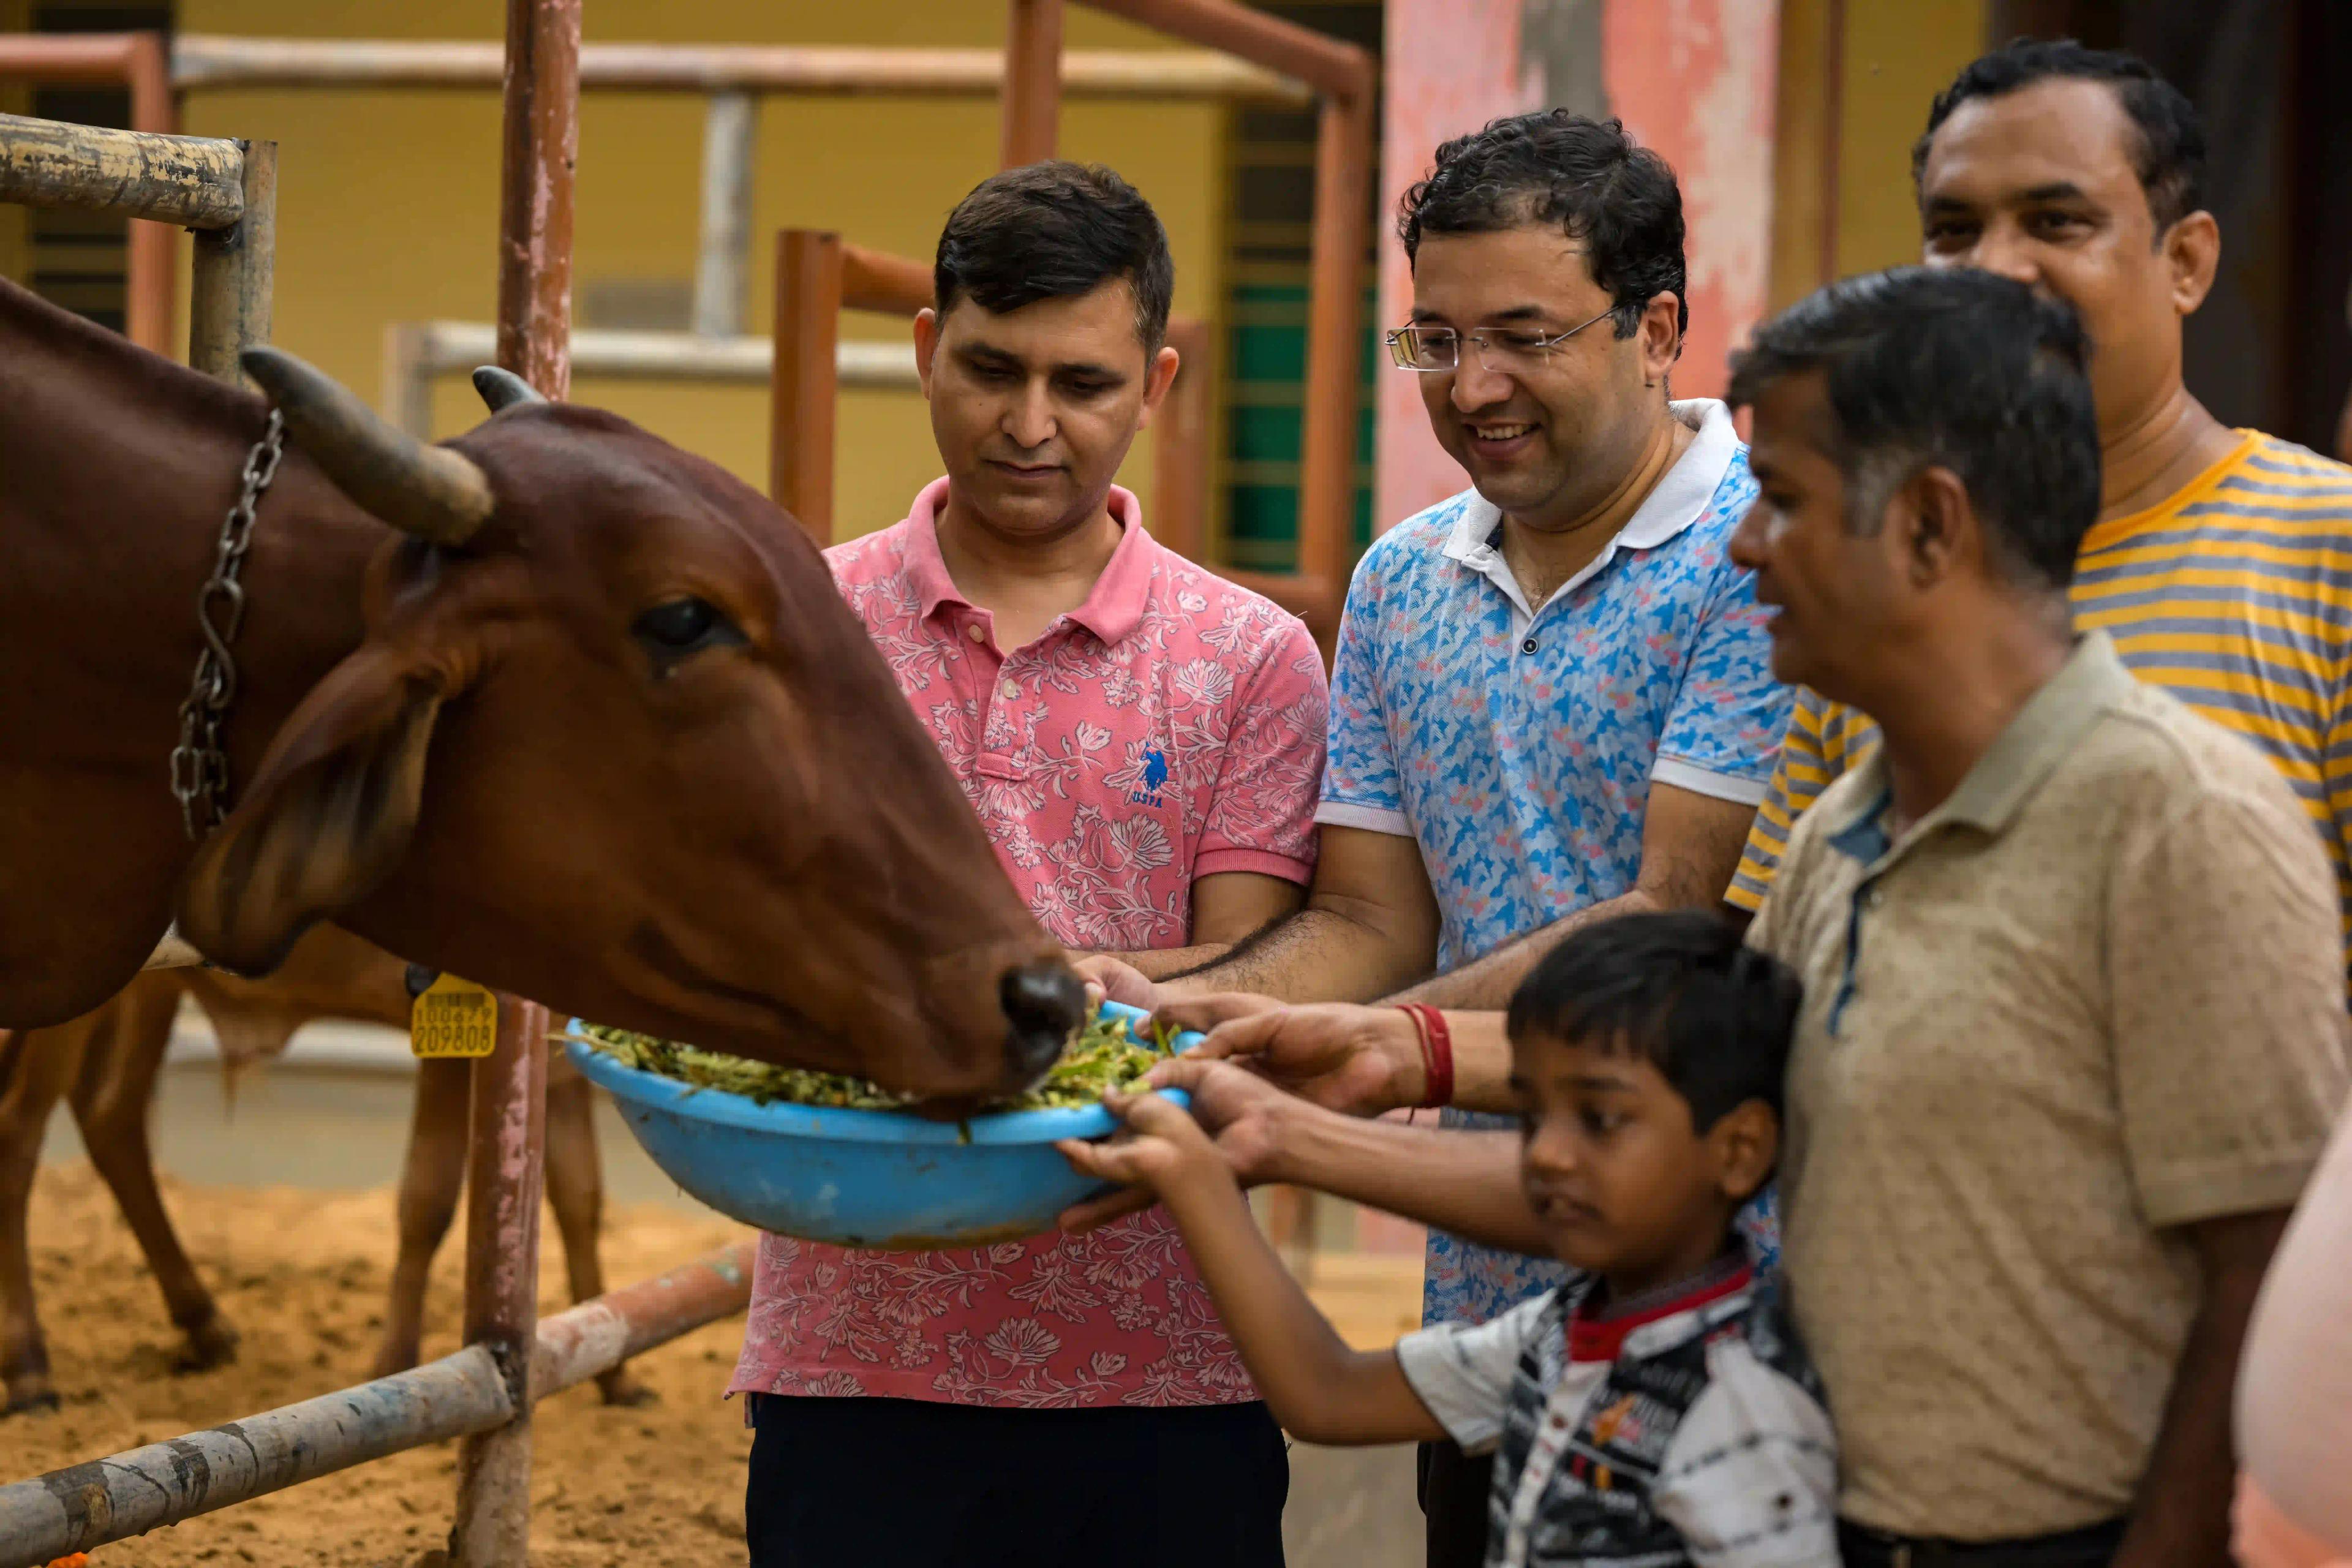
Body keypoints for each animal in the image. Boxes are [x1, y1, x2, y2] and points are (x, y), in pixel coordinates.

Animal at [0, 926, 649, 1420]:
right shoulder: (456, 1036)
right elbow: (429, 1200)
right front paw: (397, 1364)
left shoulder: (558, 1058)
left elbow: (580, 1199)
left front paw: (614, 1373)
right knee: (19, 1135)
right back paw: (30, 1368)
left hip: (148, 990)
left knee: (111, 1116)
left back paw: (206, 1324)